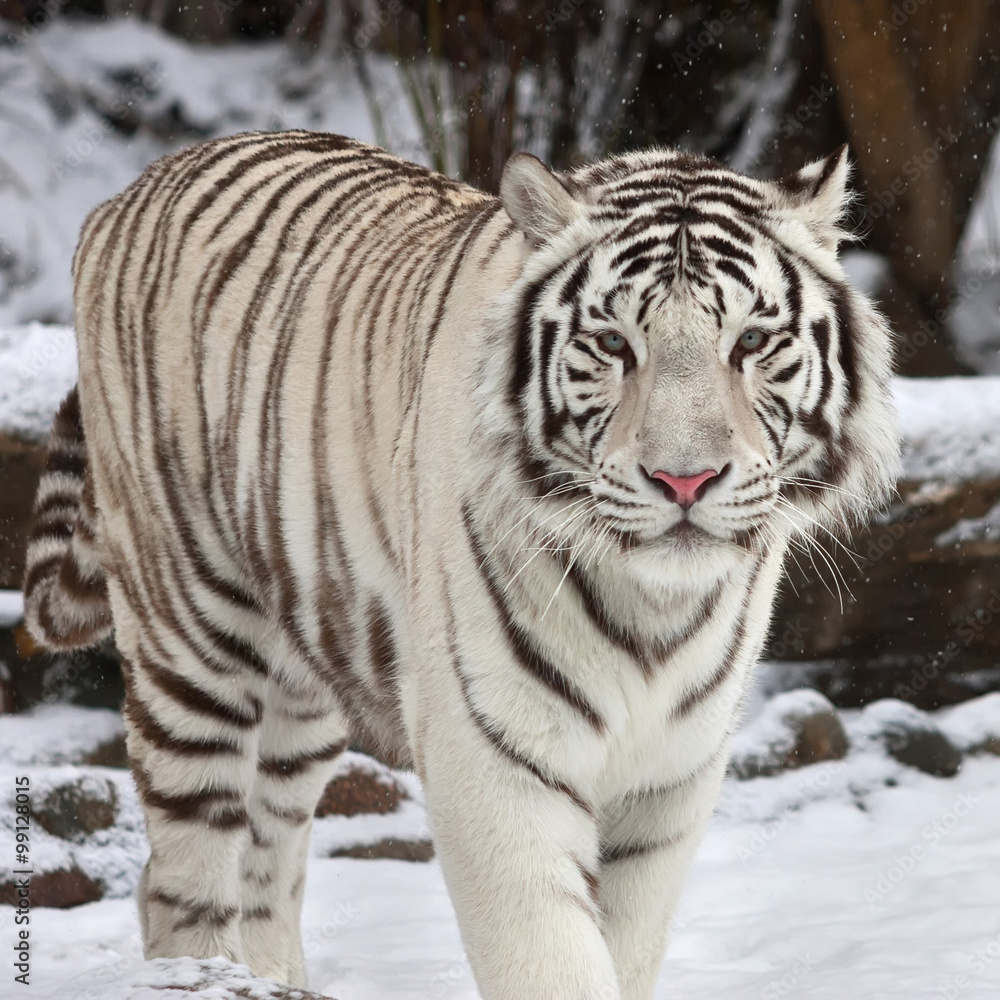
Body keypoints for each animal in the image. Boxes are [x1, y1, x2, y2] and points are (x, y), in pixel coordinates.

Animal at [23, 130, 899, 1000]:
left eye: (751, 341)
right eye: (613, 343)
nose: (685, 479)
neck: (654, 606)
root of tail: (132, 188)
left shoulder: (670, 781)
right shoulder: (494, 756)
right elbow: (554, 959)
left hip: (303, 681)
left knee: (264, 859)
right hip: (191, 635)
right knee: (183, 875)